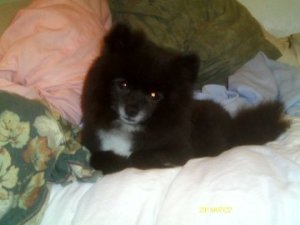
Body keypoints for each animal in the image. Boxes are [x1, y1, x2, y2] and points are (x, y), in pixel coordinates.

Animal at [81, 23, 290, 174]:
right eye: (123, 84)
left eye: (155, 96)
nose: (131, 110)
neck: (128, 129)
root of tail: (232, 124)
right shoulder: (92, 142)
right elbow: (95, 157)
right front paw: (114, 162)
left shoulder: (179, 150)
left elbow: (137, 157)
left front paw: (128, 161)